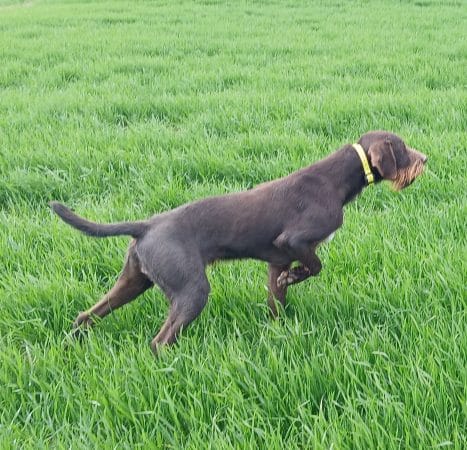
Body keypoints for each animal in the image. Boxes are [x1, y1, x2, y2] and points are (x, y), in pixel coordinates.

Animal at [51, 130, 428, 352]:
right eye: (403, 148)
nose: (425, 159)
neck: (336, 180)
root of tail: (147, 225)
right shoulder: (294, 241)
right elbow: (315, 266)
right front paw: (296, 278)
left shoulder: (276, 260)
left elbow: (278, 302)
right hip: (191, 290)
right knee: (159, 341)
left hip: (133, 281)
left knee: (86, 315)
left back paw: (71, 344)